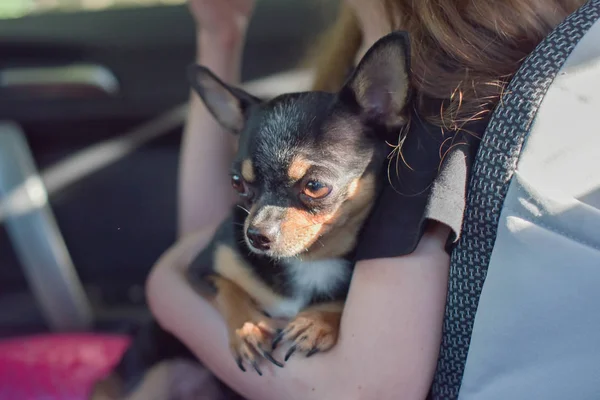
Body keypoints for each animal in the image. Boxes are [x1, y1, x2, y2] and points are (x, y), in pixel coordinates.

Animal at [91, 32, 412, 400]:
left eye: (316, 186)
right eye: (236, 183)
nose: (256, 235)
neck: (309, 261)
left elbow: (339, 298)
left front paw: (316, 321)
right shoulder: (202, 268)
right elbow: (228, 288)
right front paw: (249, 329)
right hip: (153, 373)